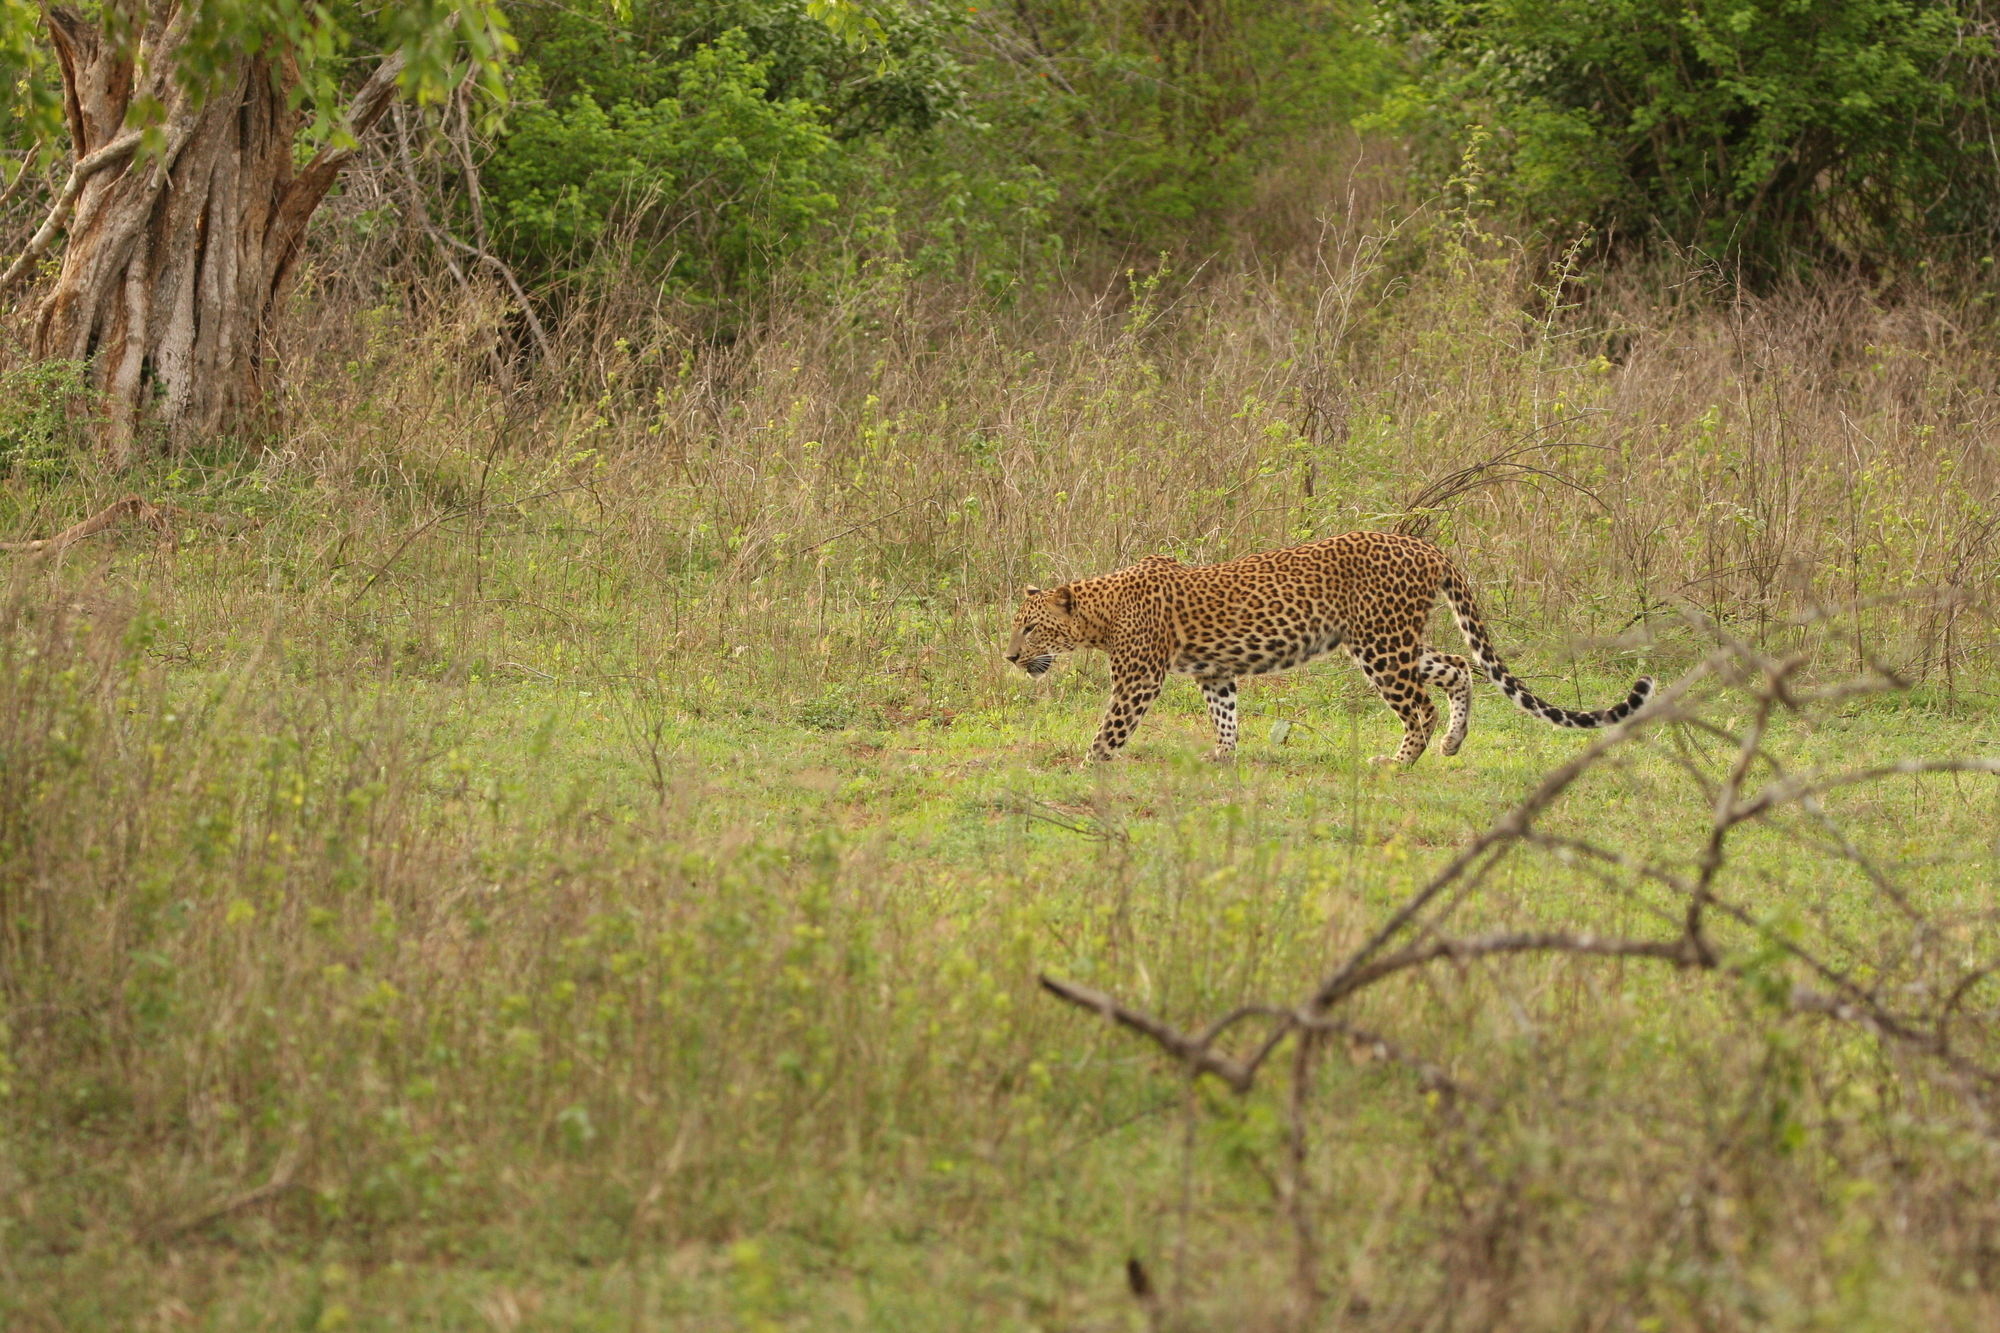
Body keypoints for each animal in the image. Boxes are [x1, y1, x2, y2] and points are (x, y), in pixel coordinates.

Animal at [1008, 524, 1648, 764]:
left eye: (1031, 626)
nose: (1011, 656)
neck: (1100, 611)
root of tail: (1426, 547)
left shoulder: (1139, 676)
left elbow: (1112, 726)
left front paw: (1087, 764)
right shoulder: (1216, 671)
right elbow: (1226, 715)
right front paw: (1223, 755)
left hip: (1380, 646)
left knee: (1418, 704)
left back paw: (1399, 761)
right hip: (1397, 640)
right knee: (1457, 665)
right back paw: (1452, 743)